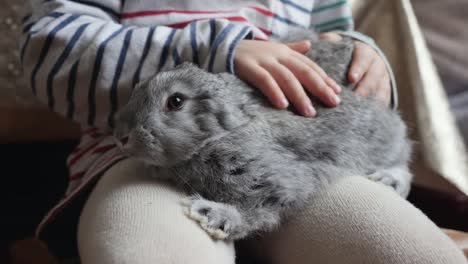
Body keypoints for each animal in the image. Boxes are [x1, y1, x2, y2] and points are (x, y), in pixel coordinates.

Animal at [115, 36, 412, 240]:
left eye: (175, 101)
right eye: (136, 89)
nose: (122, 137)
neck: (223, 129)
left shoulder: (275, 179)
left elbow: (261, 210)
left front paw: (210, 214)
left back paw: (389, 178)